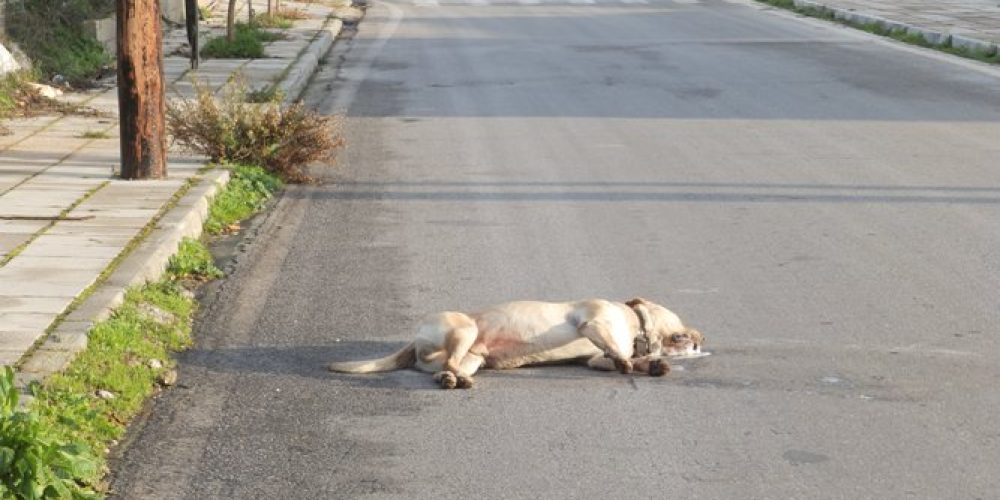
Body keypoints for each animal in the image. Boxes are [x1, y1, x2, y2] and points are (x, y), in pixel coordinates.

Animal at [328, 296, 704, 390]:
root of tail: (413, 339)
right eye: (680, 320)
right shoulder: (593, 322)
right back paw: (457, 380)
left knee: (445, 369)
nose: (702, 337)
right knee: (449, 362)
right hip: (465, 329)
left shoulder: (596, 357)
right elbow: (618, 352)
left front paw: (651, 365)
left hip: (473, 356)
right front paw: (635, 362)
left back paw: (453, 380)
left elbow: (614, 358)